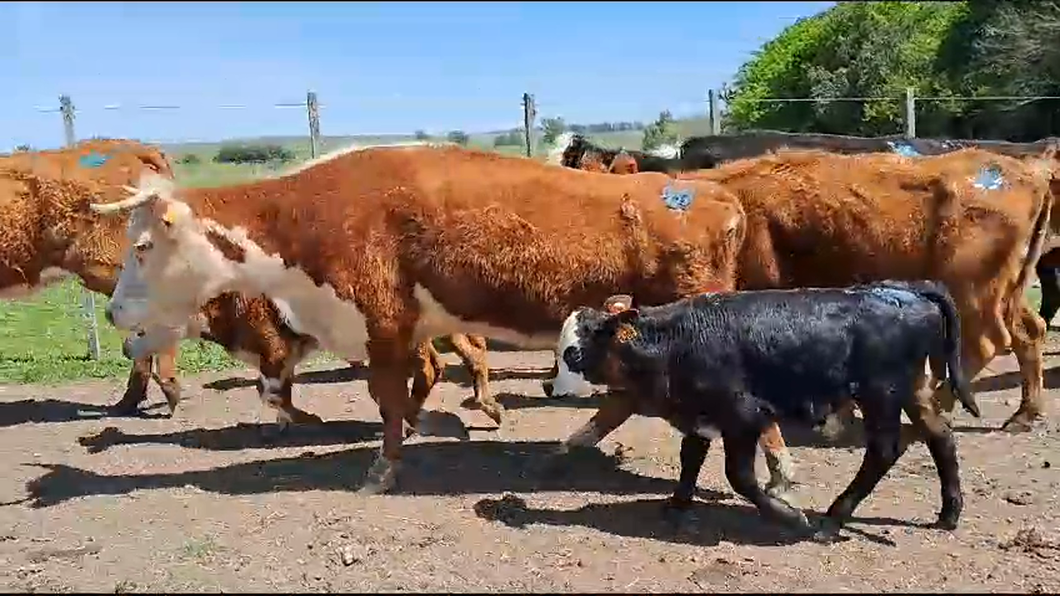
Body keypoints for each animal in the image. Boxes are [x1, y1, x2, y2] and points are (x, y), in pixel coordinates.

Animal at [86, 146, 775, 494]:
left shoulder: (382, 326)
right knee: (623, 400)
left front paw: (381, 470)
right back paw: (564, 450)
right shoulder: (404, 331)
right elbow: (414, 386)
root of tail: (713, 193)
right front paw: (425, 430)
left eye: (142, 246)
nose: (114, 311)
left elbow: (388, 400)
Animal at [559, 277, 979, 538]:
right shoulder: (700, 418)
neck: (676, 341)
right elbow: (690, 459)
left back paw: (832, 520)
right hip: (913, 389)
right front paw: (677, 506)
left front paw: (789, 516)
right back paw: (949, 513)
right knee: (940, 434)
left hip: (881, 395)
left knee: (885, 450)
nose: (551, 385)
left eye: (573, 352)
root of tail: (904, 289)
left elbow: (740, 477)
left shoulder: (744, 418)